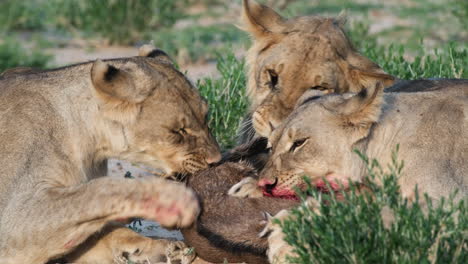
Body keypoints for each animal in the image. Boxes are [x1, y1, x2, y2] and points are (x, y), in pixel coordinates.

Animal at [0, 44, 222, 262]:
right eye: (178, 131)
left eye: (206, 116)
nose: (217, 160)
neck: (90, 146)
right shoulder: (12, 219)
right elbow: (98, 189)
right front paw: (167, 200)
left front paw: (164, 248)